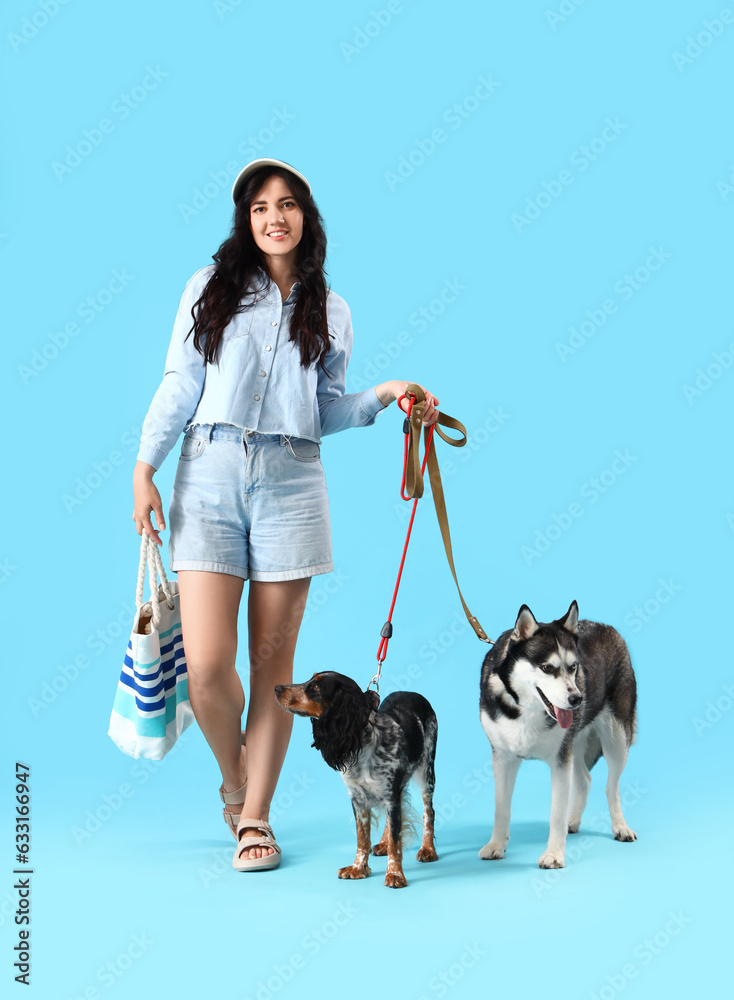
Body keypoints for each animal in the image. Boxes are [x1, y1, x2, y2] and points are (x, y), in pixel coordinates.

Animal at [484, 600, 640, 868]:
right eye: (547, 668)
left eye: (573, 667)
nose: (577, 699)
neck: (528, 710)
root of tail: (607, 627)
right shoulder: (503, 759)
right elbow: (501, 807)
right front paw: (496, 845)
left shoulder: (560, 762)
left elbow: (556, 813)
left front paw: (554, 854)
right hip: (575, 745)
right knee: (584, 779)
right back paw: (573, 822)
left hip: (617, 739)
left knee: (612, 786)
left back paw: (620, 826)